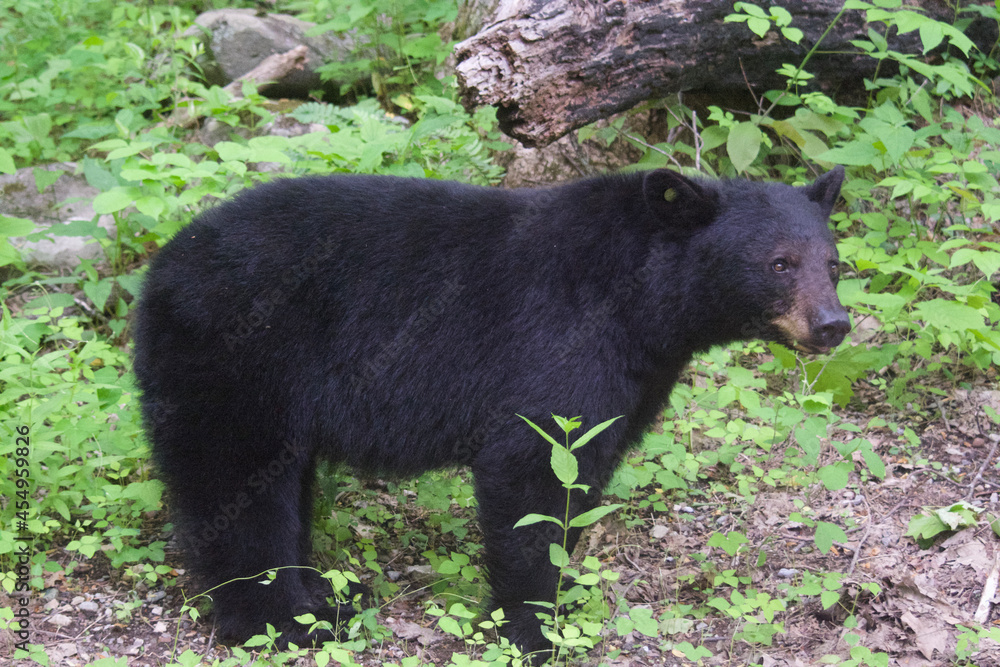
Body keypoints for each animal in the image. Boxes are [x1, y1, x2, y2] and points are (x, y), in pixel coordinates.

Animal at [132, 165, 849, 660]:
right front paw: (534, 630)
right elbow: (530, 476)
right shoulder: (555, 347)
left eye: (833, 262)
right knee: (235, 487)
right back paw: (282, 621)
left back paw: (329, 596)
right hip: (240, 363)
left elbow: (581, 481)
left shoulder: (632, 381)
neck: (641, 303)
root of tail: (160, 267)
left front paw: (564, 601)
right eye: (779, 263)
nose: (833, 324)